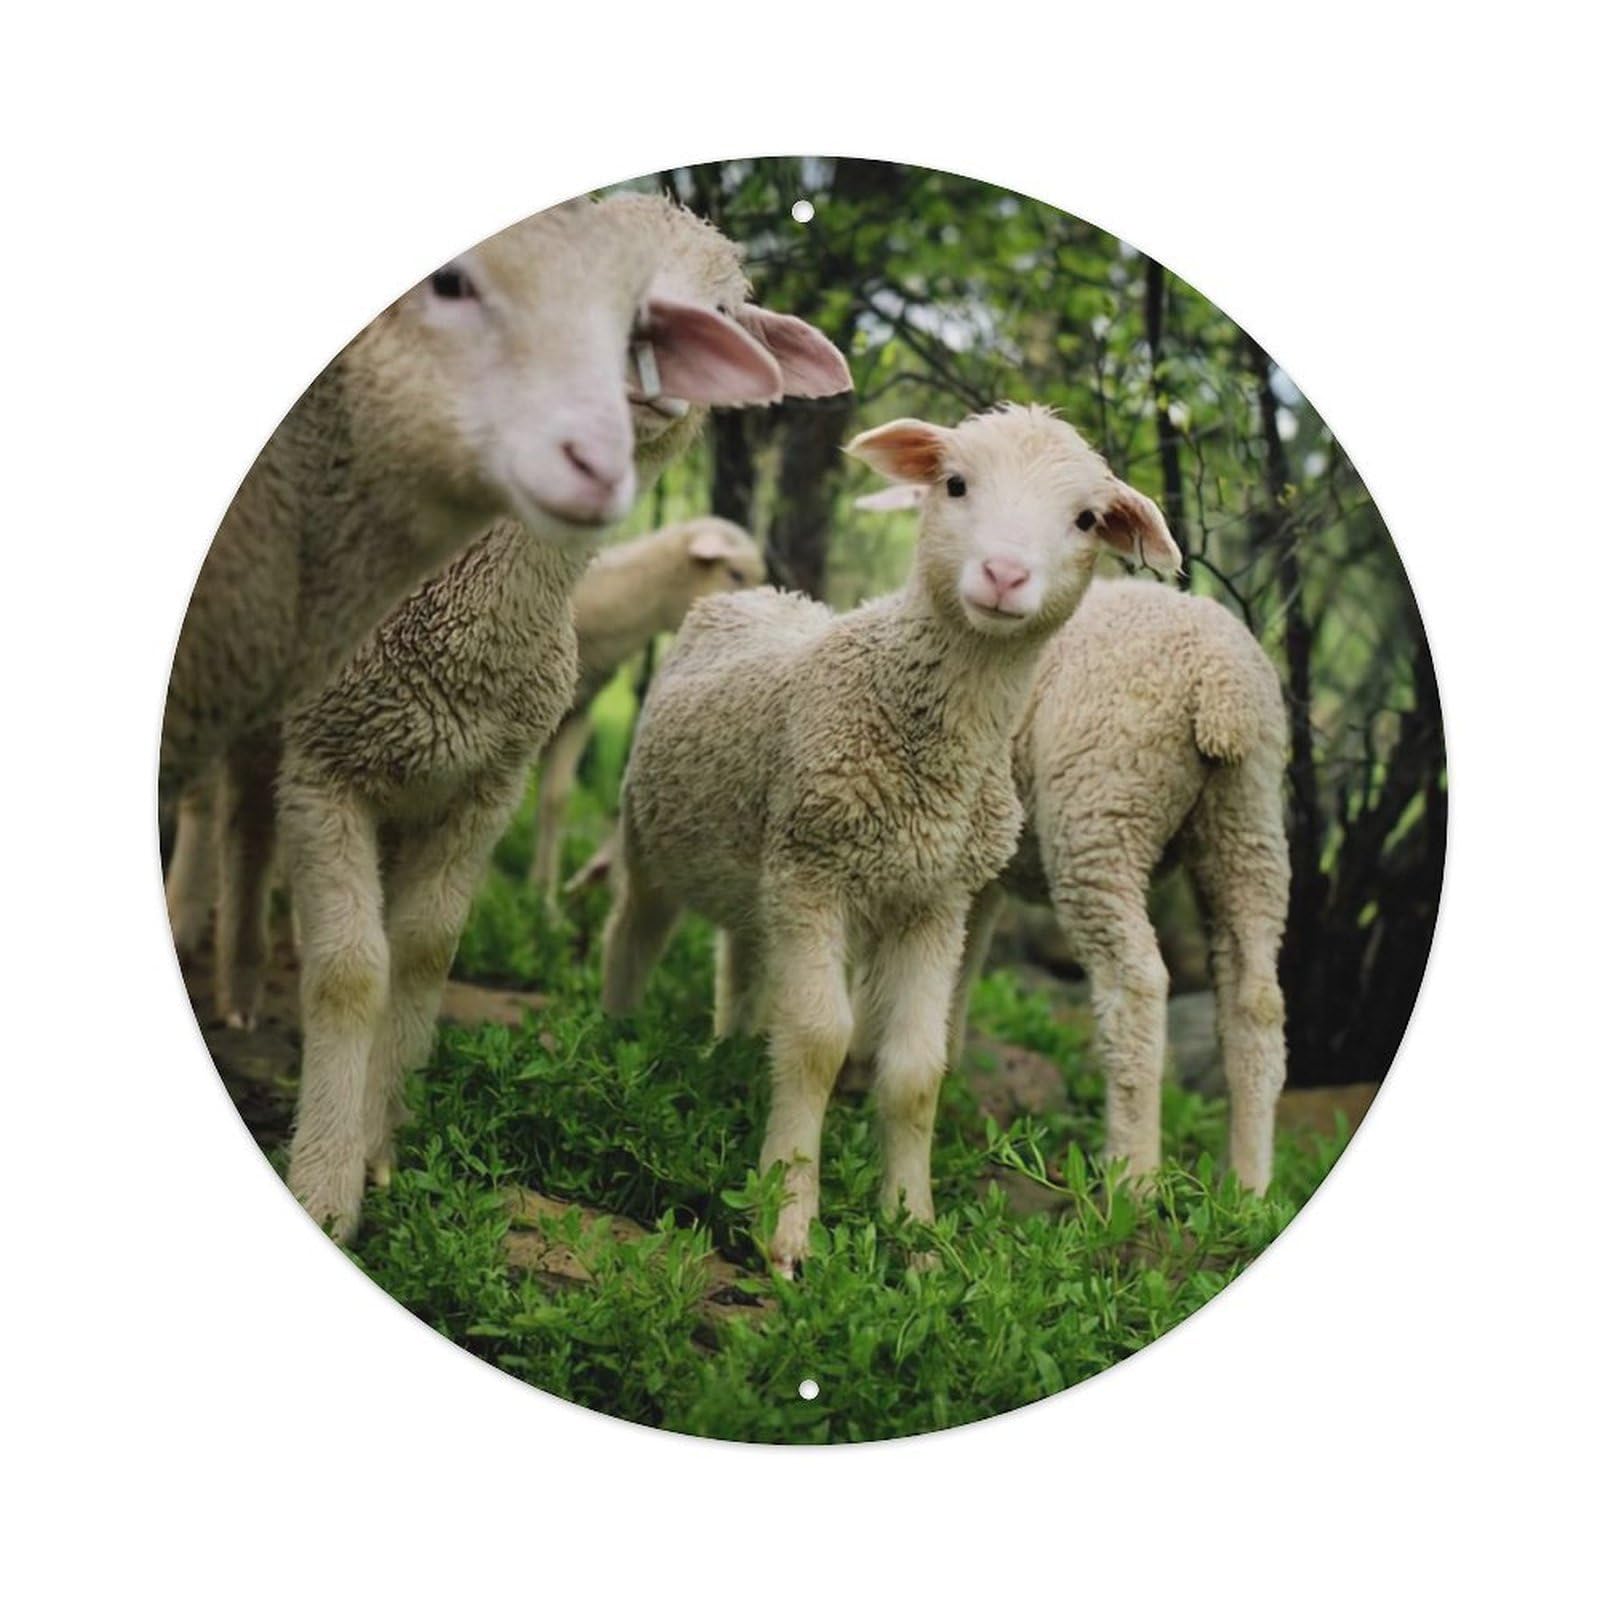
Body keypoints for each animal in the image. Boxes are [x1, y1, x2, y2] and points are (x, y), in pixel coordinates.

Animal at [600, 404, 1180, 1273]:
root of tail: (771, 594)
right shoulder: (815, 867)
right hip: (653, 833)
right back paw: (614, 1041)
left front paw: (915, 1233)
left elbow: (914, 1069)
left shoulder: (933, 900)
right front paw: (787, 1228)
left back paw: (728, 1053)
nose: (1004, 575)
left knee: (741, 956)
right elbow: (818, 1040)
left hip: (760, 861)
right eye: (956, 483)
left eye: (1084, 520)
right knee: (631, 933)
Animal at [945, 578, 1290, 1193]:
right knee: (1256, 1000)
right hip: (1246, 821)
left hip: (1102, 804)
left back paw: (1133, 1180)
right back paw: (1248, 1187)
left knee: (1136, 985)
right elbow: (955, 967)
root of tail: (1219, 675)